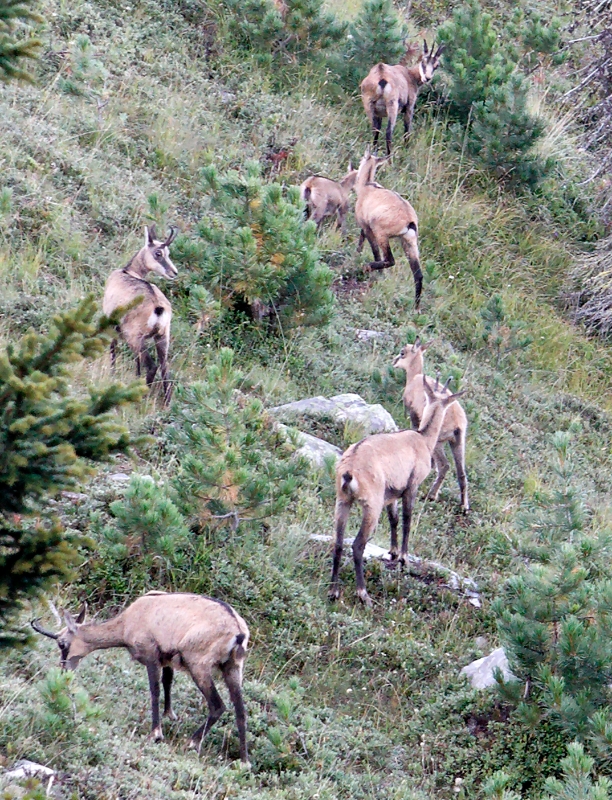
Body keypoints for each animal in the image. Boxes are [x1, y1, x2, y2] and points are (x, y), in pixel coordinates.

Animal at [30, 592, 251, 764]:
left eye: (62, 643)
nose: (63, 671)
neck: (129, 620)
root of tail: (238, 631)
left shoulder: (151, 656)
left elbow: (155, 690)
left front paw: (156, 733)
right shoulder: (165, 659)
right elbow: (166, 682)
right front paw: (169, 716)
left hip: (199, 666)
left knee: (218, 705)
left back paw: (192, 742)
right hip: (233, 668)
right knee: (240, 710)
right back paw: (244, 761)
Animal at [103, 225, 178, 406]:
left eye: (166, 253)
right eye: (159, 253)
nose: (174, 272)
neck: (129, 271)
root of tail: (158, 308)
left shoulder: (112, 323)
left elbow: (113, 349)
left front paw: (112, 373)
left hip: (135, 337)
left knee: (151, 366)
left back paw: (142, 396)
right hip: (162, 337)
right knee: (165, 368)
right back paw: (166, 403)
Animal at [330, 378, 464, 604]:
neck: (422, 439)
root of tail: (348, 472)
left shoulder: (391, 493)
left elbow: (393, 519)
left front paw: (392, 552)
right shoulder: (411, 486)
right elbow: (407, 520)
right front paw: (403, 558)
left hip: (343, 501)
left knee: (338, 542)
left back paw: (333, 590)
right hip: (371, 505)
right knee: (357, 545)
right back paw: (363, 593)